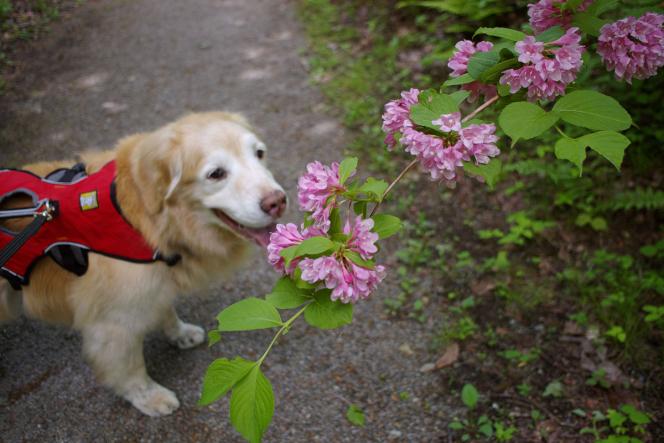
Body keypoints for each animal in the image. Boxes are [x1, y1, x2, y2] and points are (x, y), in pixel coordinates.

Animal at [0, 111, 286, 416]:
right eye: (216, 174)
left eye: (259, 153)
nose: (278, 202)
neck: (141, 219)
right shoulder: (112, 321)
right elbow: (130, 366)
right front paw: (149, 397)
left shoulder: (155, 283)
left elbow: (166, 309)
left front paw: (179, 333)